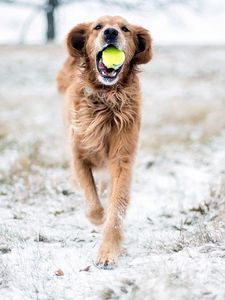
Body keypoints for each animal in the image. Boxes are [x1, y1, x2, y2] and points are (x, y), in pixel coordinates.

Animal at [56, 15, 152, 268]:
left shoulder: (122, 159)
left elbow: (116, 206)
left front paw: (108, 251)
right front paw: (97, 217)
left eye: (125, 29)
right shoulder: (78, 156)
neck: (106, 98)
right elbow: (91, 199)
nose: (110, 32)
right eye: (97, 27)